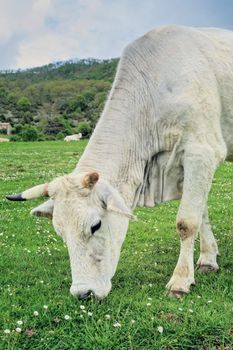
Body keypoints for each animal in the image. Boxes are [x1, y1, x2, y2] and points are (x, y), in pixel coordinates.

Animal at [6, 25, 233, 298]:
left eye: (95, 225)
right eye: (60, 232)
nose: (83, 293)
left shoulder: (201, 152)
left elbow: (187, 222)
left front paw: (180, 281)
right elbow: (202, 214)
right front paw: (208, 260)